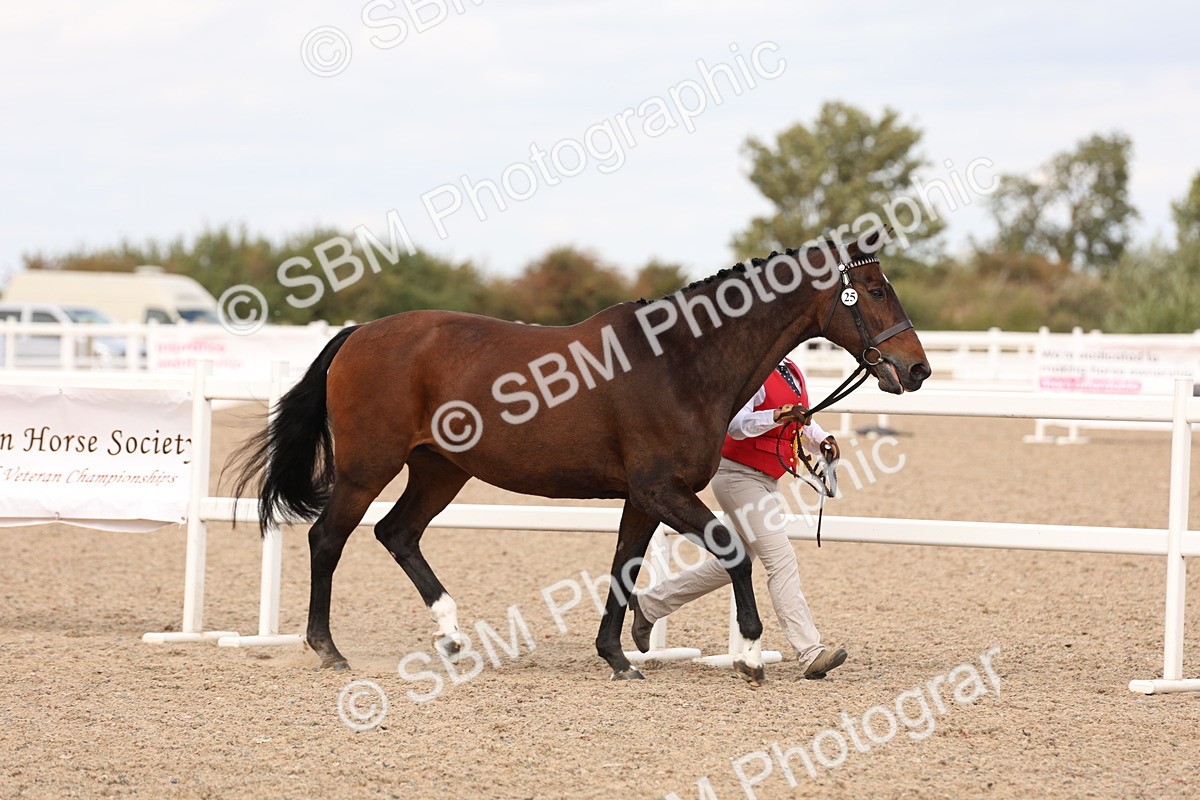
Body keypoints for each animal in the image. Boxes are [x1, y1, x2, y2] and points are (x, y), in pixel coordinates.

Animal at [228, 227, 930, 684]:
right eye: (873, 290)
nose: (916, 368)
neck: (679, 361)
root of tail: (358, 335)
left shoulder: (645, 497)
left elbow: (625, 566)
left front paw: (618, 657)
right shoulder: (662, 490)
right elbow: (731, 552)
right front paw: (751, 656)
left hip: (440, 469)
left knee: (396, 533)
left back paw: (452, 635)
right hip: (367, 468)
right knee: (328, 538)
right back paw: (328, 649)